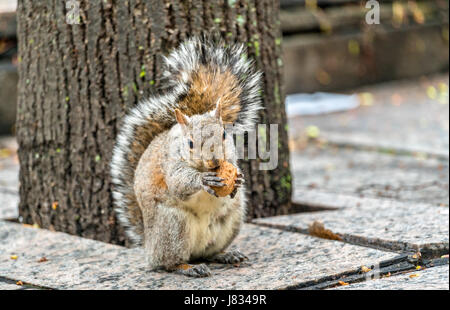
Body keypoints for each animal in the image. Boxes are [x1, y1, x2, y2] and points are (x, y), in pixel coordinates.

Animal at [110, 37, 262, 278]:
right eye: (190, 143)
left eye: (224, 134)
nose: (215, 162)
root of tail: (149, 245)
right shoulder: (170, 165)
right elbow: (179, 183)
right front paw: (204, 181)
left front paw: (238, 179)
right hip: (173, 227)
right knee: (168, 262)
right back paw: (189, 268)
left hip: (231, 219)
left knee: (209, 253)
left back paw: (226, 255)